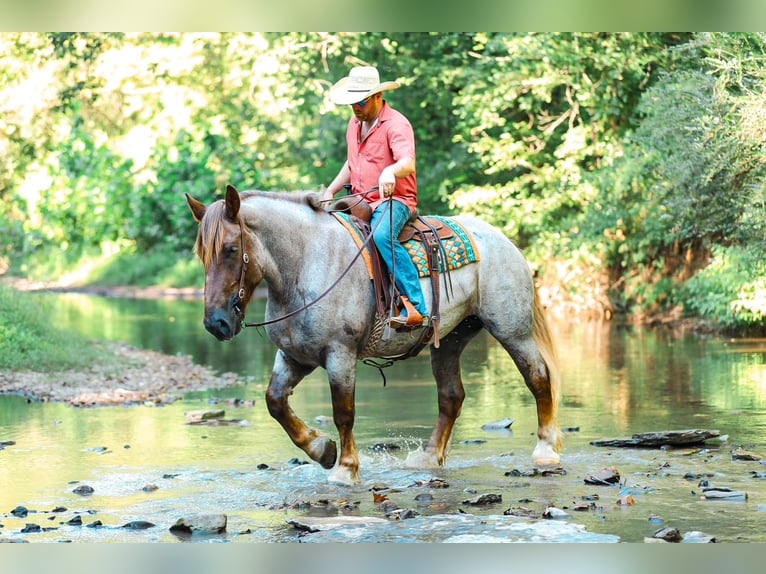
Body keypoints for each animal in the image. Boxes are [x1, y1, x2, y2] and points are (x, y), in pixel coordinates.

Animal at [186, 184, 562, 485]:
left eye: (231, 249)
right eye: (202, 253)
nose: (216, 323)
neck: (305, 265)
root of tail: (504, 241)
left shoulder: (340, 354)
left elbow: (344, 412)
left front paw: (345, 468)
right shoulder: (294, 356)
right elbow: (275, 401)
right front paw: (322, 449)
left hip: (512, 331)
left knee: (538, 378)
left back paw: (545, 450)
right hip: (449, 340)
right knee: (451, 397)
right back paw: (428, 458)